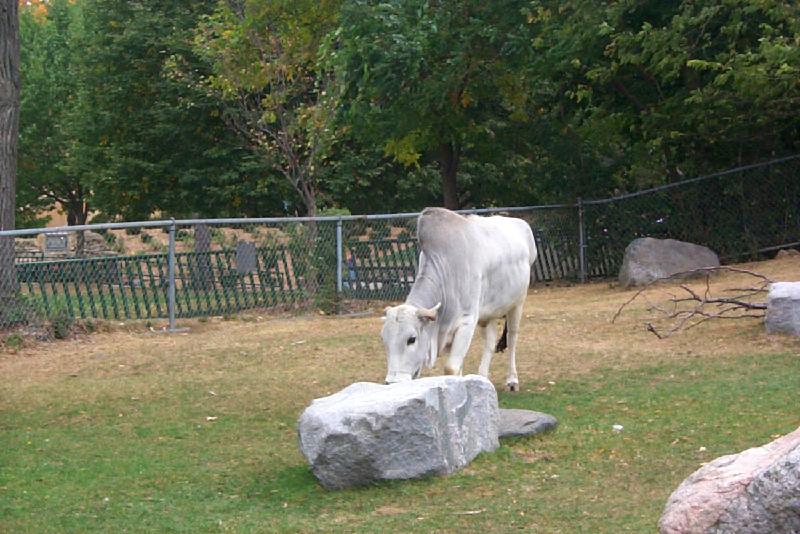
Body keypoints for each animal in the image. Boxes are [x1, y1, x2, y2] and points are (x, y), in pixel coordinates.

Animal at [382, 207, 536, 392]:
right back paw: (483, 378)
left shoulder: (467, 322)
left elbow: (451, 368)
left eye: (411, 339)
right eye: (384, 340)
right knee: (490, 342)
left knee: (512, 338)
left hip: (517, 304)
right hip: (489, 312)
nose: (392, 383)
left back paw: (512, 380)